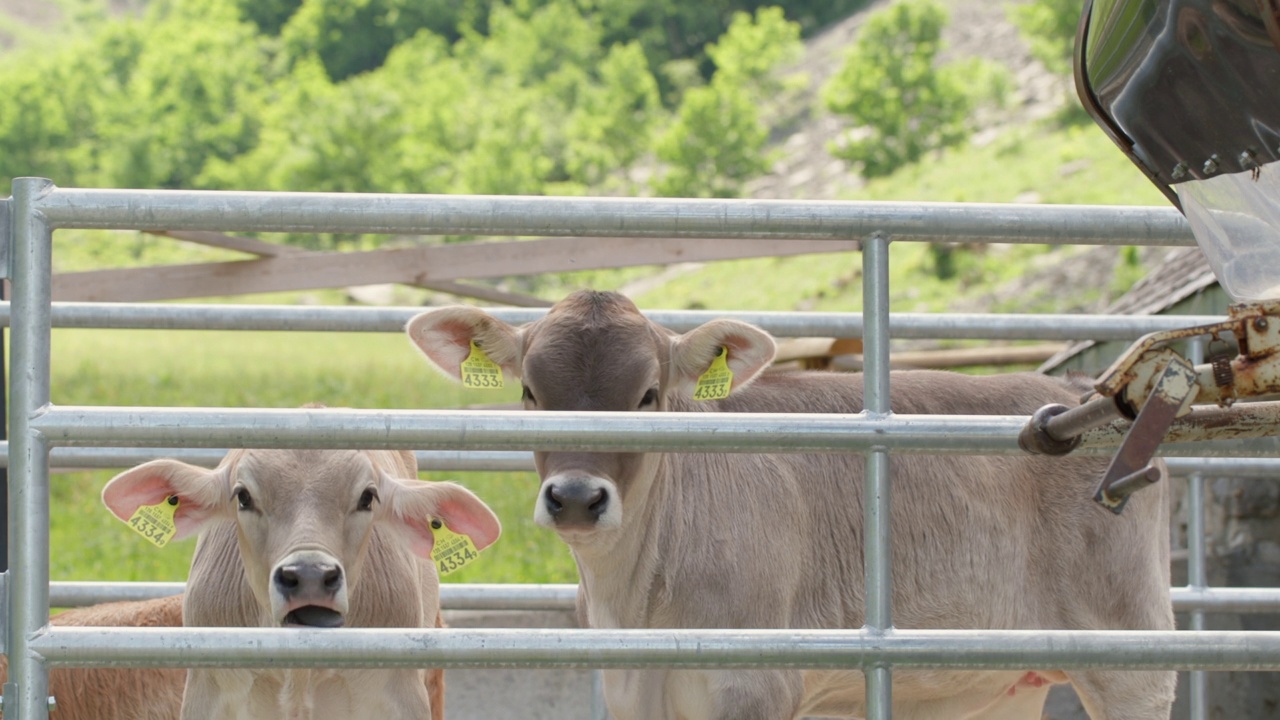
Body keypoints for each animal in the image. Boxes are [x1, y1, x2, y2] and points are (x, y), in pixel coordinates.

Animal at [407, 288, 1172, 717]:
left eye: (647, 395)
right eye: (530, 392)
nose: (574, 498)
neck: (639, 600)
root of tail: (1076, 394)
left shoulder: (756, 687)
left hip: (1130, 656)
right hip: (995, 687)